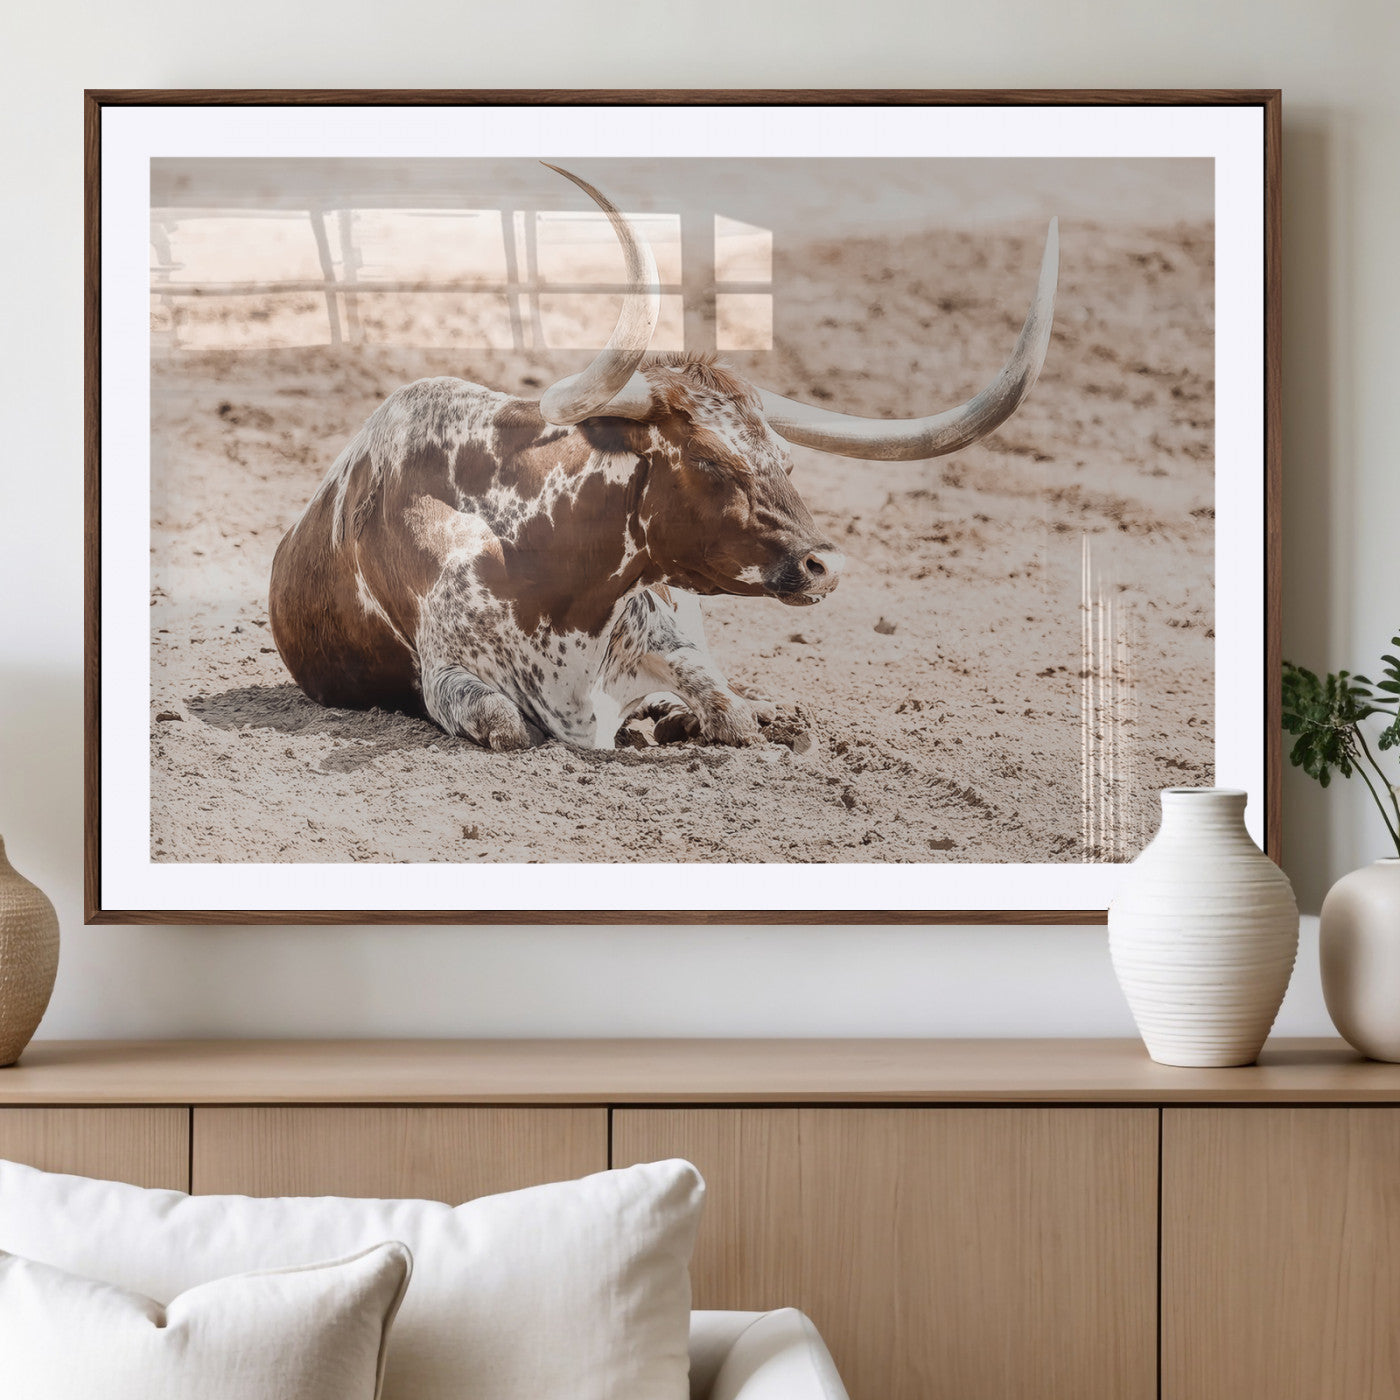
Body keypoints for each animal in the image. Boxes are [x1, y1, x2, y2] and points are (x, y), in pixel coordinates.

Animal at [269, 165, 1058, 751]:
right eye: (709, 461)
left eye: (785, 460)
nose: (823, 565)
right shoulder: (450, 678)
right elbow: (509, 725)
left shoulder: (672, 637)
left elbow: (730, 711)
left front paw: (704, 718)